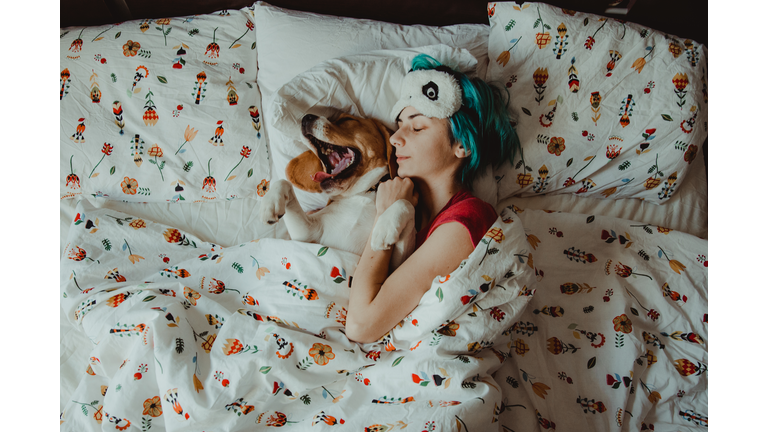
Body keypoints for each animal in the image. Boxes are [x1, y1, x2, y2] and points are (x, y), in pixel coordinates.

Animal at [258, 113, 414, 268]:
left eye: (347, 119)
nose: (306, 117)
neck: (363, 194)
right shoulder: (306, 234)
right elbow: (283, 182)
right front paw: (269, 205)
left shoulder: (394, 265)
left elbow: (407, 204)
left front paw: (385, 227)